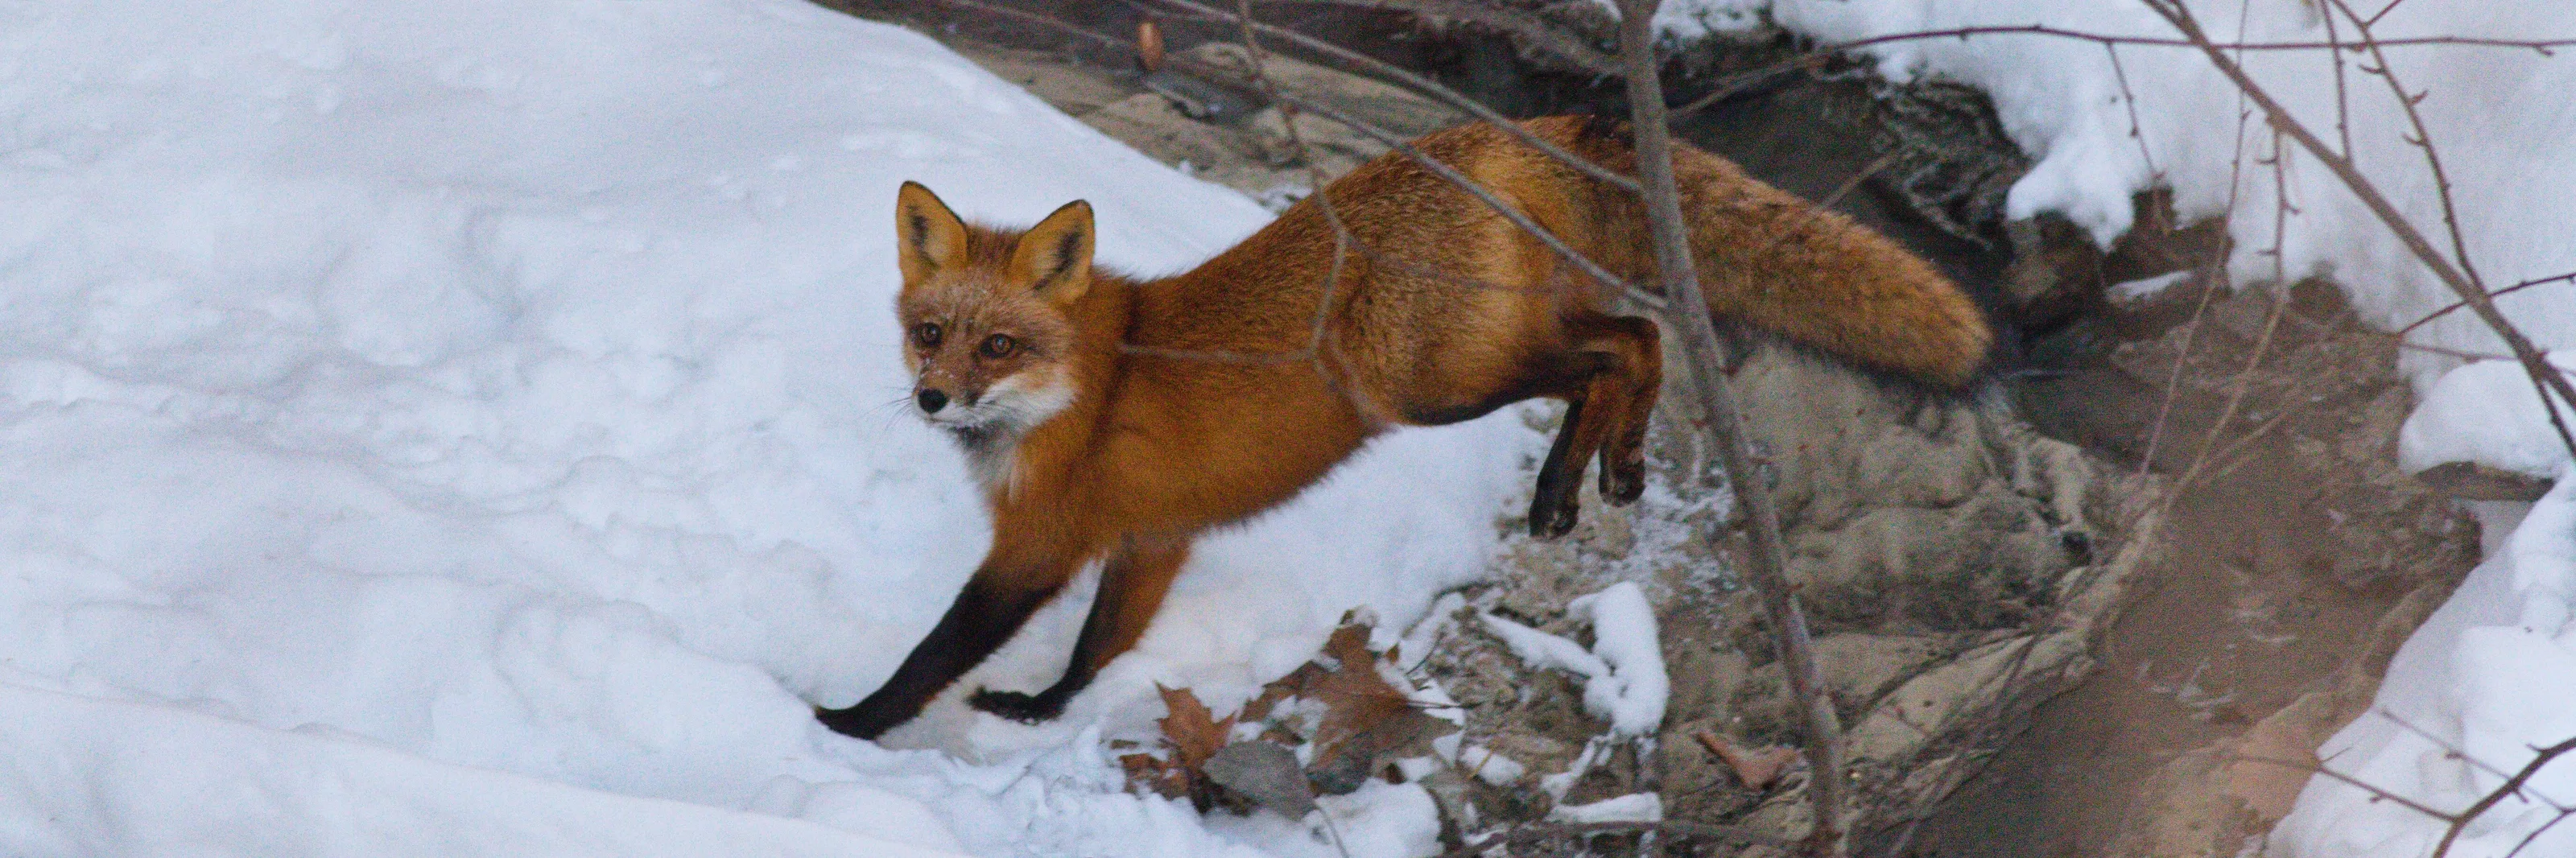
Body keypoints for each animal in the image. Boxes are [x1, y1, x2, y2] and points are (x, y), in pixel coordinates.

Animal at [815, 115, 1991, 740]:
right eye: (929, 334)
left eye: (996, 347)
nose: (932, 399)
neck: (1084, 385)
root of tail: (1490, 136)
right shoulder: (1153, 539)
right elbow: (1100, 648)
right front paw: (1041, 709)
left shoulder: (1038, 546)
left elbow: (933, 653)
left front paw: (847, 725)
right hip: (1502, 345)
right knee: (1633, 337)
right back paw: (1588, 475)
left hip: (1433, 382)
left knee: (1626, 347)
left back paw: (1583, 475)